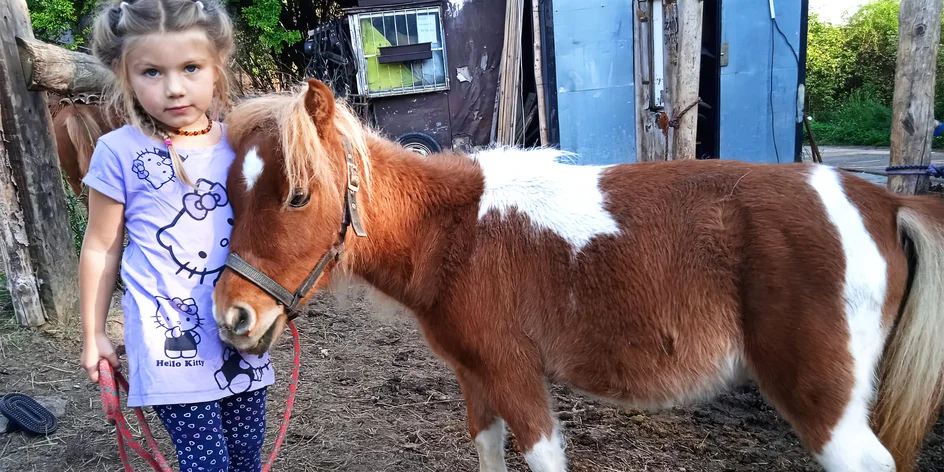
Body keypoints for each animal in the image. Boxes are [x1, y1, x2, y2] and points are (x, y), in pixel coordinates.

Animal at [214, 79, 944, 470]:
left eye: (298, 195)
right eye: (230, 192)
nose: (233, 316)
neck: (456, 232)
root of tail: (885, 202)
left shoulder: (516, 377)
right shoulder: (476, 379)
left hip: (826, 406)